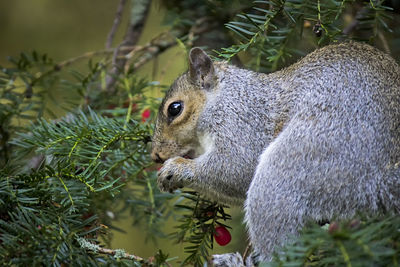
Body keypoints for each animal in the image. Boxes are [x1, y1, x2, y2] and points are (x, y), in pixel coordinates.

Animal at [150, 42, 400, 266]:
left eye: (175, 108)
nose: (156, 156)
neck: (226, 98)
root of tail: (377, 184)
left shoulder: (242, 125)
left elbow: (236, 168)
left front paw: (176, 169)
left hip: (302, 165)